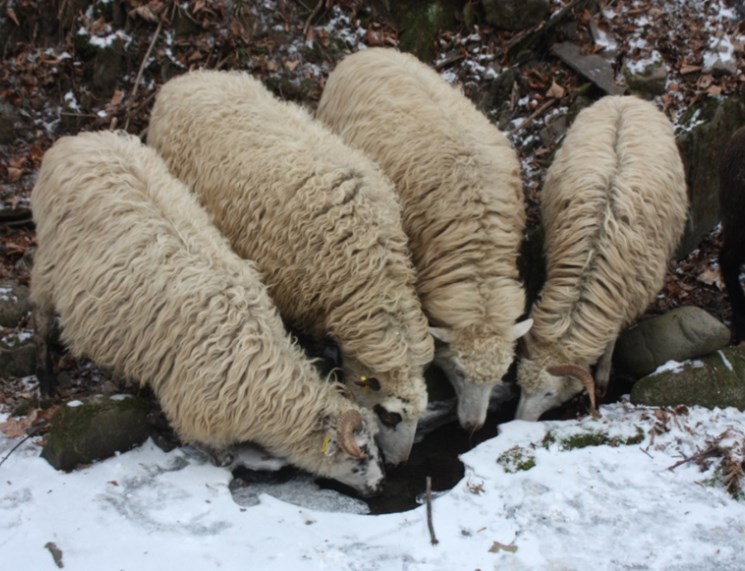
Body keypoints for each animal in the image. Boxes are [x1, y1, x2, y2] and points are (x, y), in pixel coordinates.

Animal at [30, 130, 384, 496]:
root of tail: (76, 141)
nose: (379, 487)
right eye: (361, 458)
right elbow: (214, 451)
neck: (262, 382)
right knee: (39, 315)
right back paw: (46, 382)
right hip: (48, 264)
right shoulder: (194, 408)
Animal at [512, 95, 684, 420]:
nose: (517, 423)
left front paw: (603, 380)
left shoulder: (623, 301)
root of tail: (625, 99)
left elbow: (610, 340)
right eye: (521, 386)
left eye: (549, 393)